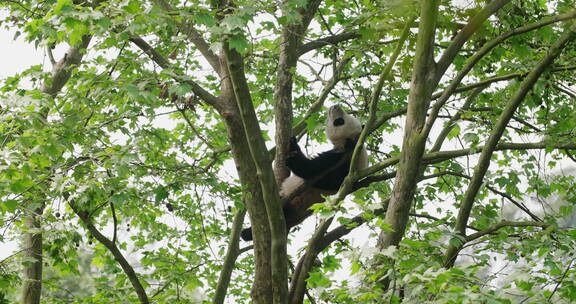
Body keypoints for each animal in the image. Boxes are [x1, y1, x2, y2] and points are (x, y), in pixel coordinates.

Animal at [240, 105, 366, 241]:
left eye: (339, 121)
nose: (336, 106)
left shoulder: (339, 160)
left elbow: (308, 170)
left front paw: (293, 148)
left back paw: (246, 232)